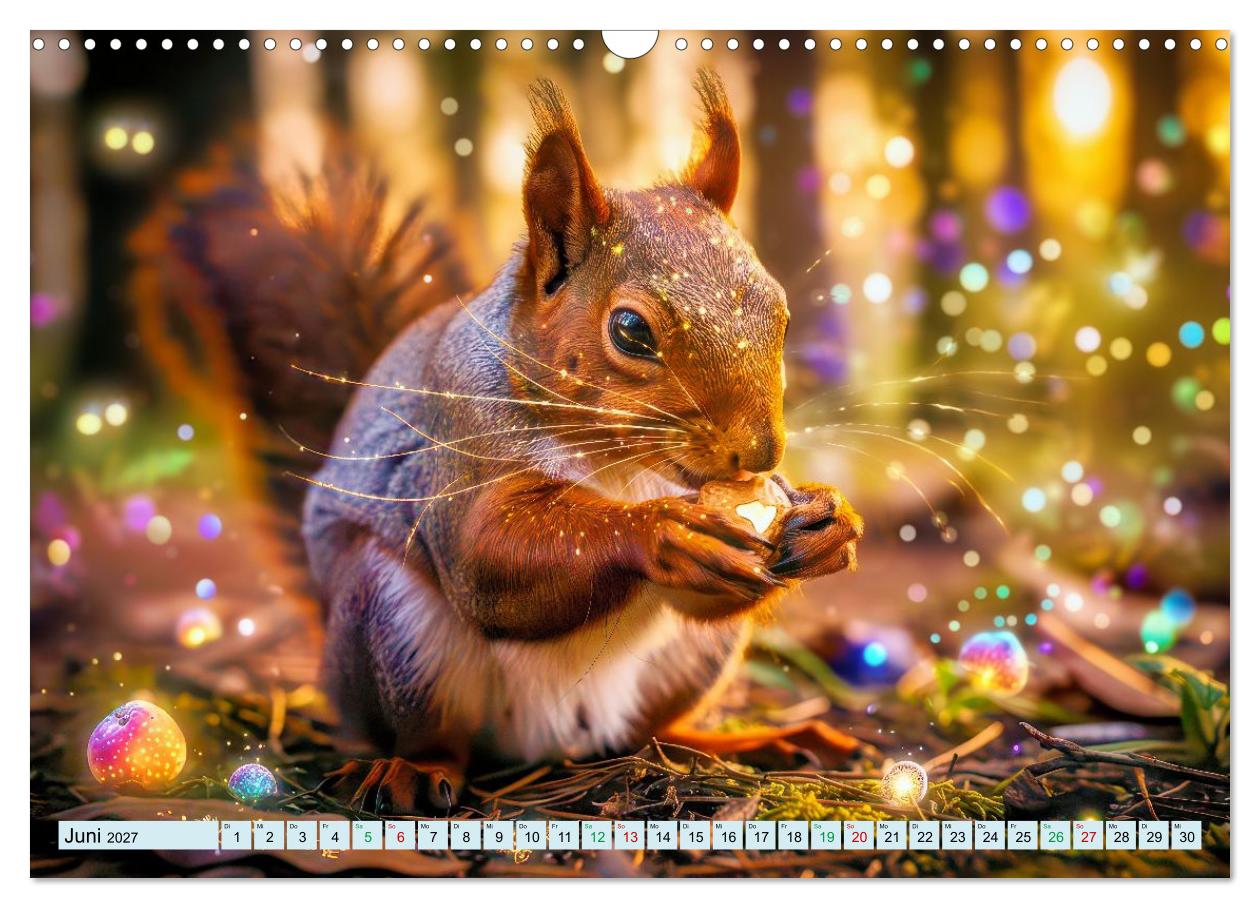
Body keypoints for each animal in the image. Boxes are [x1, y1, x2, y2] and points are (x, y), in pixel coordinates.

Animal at [131, 70, 863, 766]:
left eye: (781, 313)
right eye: (630, 331)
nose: (761, 454)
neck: (619, 466)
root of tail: (552, 741)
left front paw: (828, 522)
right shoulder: (460, 446)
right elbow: (487, 560)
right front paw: (663, 531)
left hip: (686, 663)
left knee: (649, 729)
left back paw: (743, 741)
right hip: (389, 628)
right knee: (429, 736)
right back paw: (416, 773)